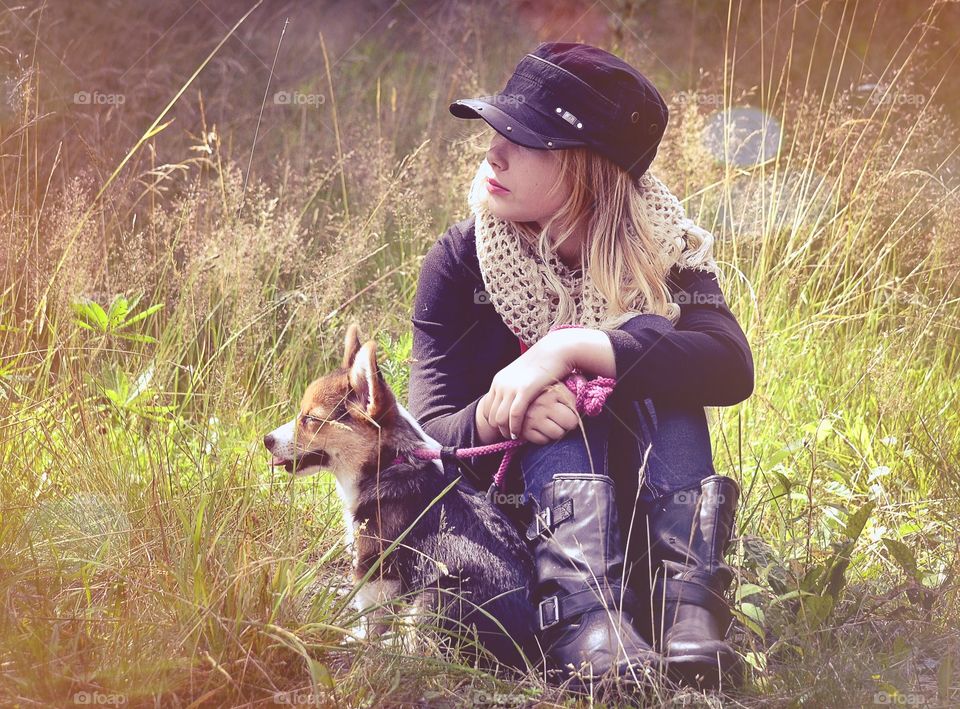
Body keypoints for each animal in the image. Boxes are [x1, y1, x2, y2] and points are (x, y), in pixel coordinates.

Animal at [260, 324, 540, 668]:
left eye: (310, 419)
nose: (266, 439)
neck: (385, 466)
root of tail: (526, 649)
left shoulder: (375, 566)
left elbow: (370, 613)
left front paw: (361, 637)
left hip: (439, 596)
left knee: (419, 648)